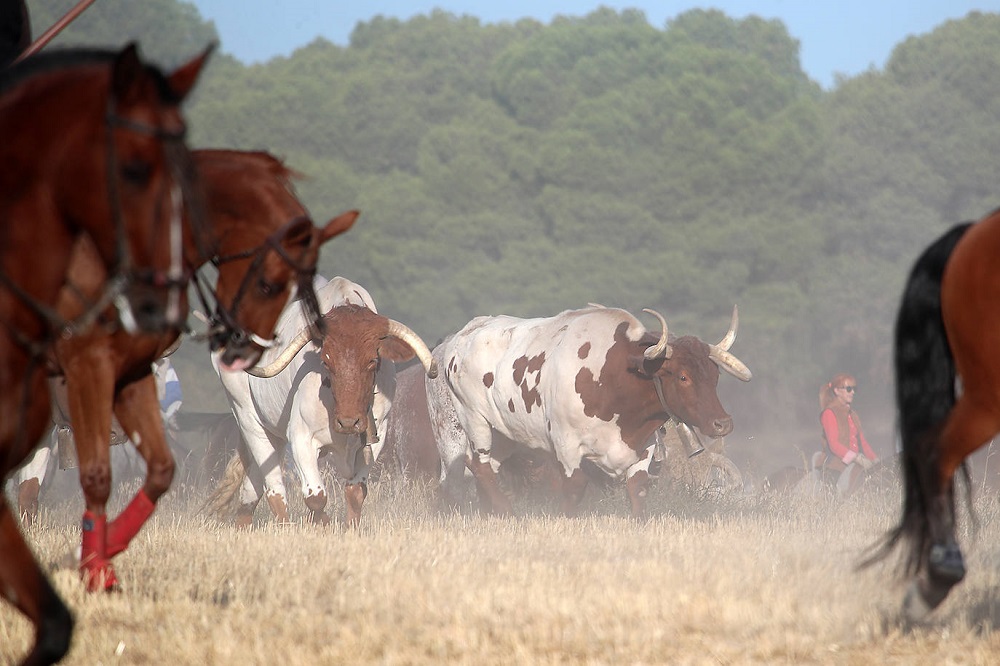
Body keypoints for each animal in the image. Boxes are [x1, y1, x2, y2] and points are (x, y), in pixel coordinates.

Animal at [0, 44, 209, 660]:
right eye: (135, 168)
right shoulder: (87, 370)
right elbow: (95, 472)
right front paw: (93, 566)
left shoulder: (130, 377)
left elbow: (159, 469)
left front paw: (96, 561)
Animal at [213, 274, 436, 524]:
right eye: (326, 362)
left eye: (373, 361)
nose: (348, 423)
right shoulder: (301, 438)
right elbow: (316, 497)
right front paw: (324, 524)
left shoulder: (375, 441)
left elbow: (355, 492)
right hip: (249, 419)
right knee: (275, 490)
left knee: (252, 488)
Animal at [430, 304, 752, 516]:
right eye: (683, 377)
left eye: (715, 375)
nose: (723, 423)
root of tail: (463, 335)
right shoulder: (566, 446)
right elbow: (574, 488)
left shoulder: (644, 447)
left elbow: (638, 491)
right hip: (474, 419)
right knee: (478, 465)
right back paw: (507, 511)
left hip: (505, 434)